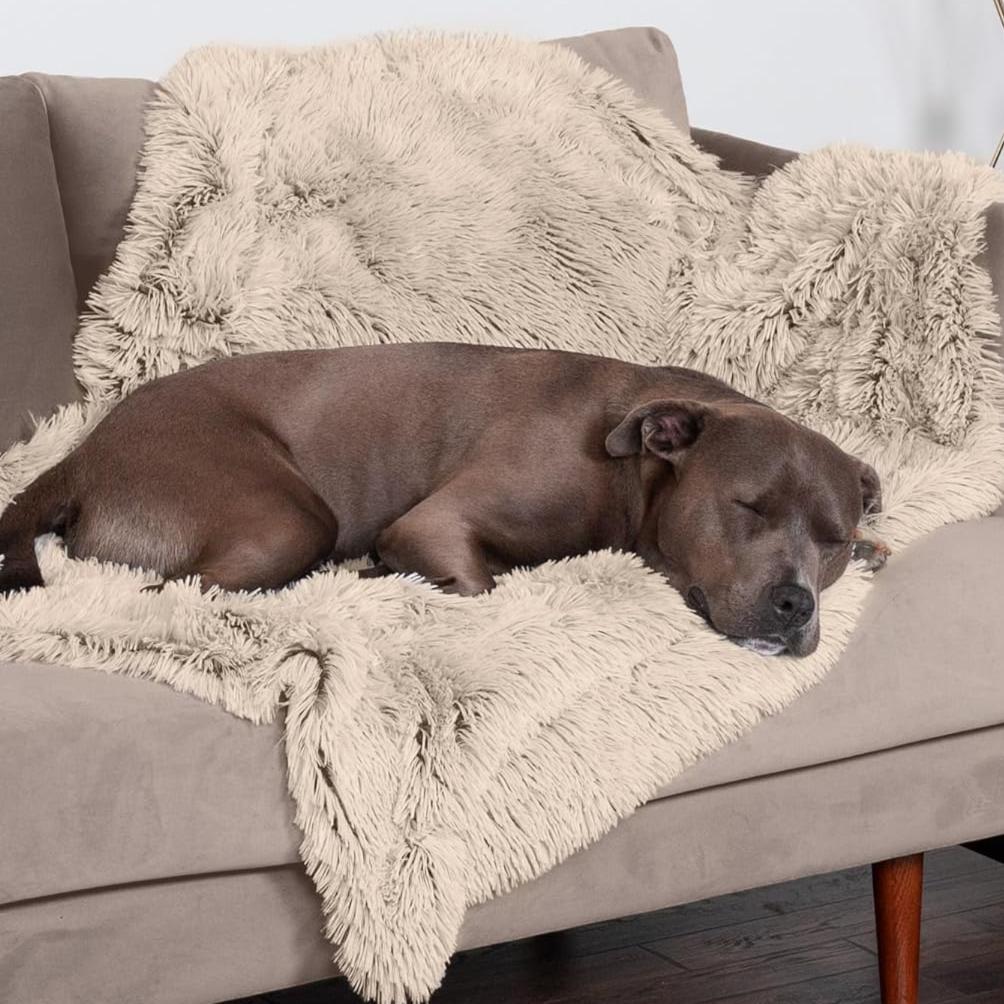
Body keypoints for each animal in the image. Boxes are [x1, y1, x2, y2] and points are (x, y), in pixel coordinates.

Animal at [0, 345, 887, 658]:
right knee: (176, 593)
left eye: (835, 539)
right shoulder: (438, 522)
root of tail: (80, 455)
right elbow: (477, 582)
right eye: (748, 507)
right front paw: (392, 577)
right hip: (285, 517)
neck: (629, 472)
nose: (794, 604)